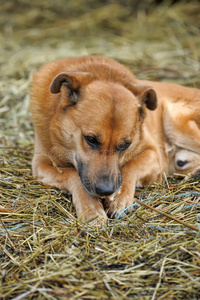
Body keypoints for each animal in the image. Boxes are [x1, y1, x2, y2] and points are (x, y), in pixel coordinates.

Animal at [30, 56, 200, 224]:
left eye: (125, 145)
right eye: (90, 139)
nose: (106, 190)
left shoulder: (153, 153)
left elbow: (130, 167)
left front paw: (120, 199)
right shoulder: (41, 165)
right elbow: (72, 174)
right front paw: (91, 209)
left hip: (174, 120)